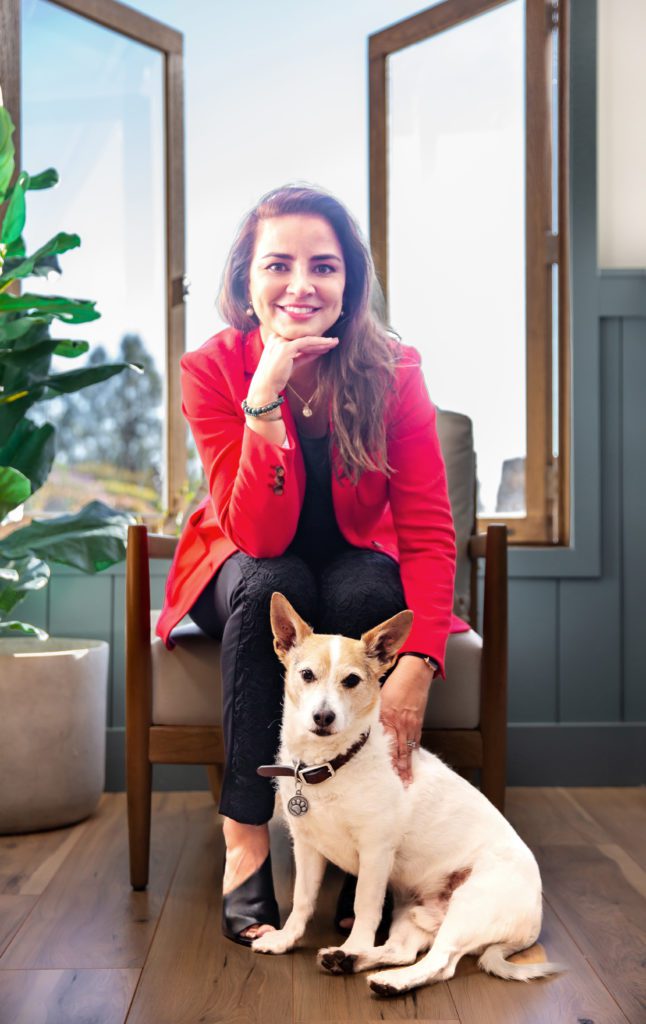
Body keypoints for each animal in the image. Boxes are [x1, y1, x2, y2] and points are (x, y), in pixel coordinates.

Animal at [249, 593, 565, 991]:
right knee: (402, 951)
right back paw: (349, 961)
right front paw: (286, 940)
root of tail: (534, 923)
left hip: (468, 908)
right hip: (411, 911)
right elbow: (302, 899)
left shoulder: (374, 853)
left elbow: (364, 907)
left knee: (441, 963)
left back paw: (387, 978)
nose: (323, 717)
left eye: (351, 680)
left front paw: (353, 941)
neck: (332, 765)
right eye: (306, 675)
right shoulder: (307, 848)